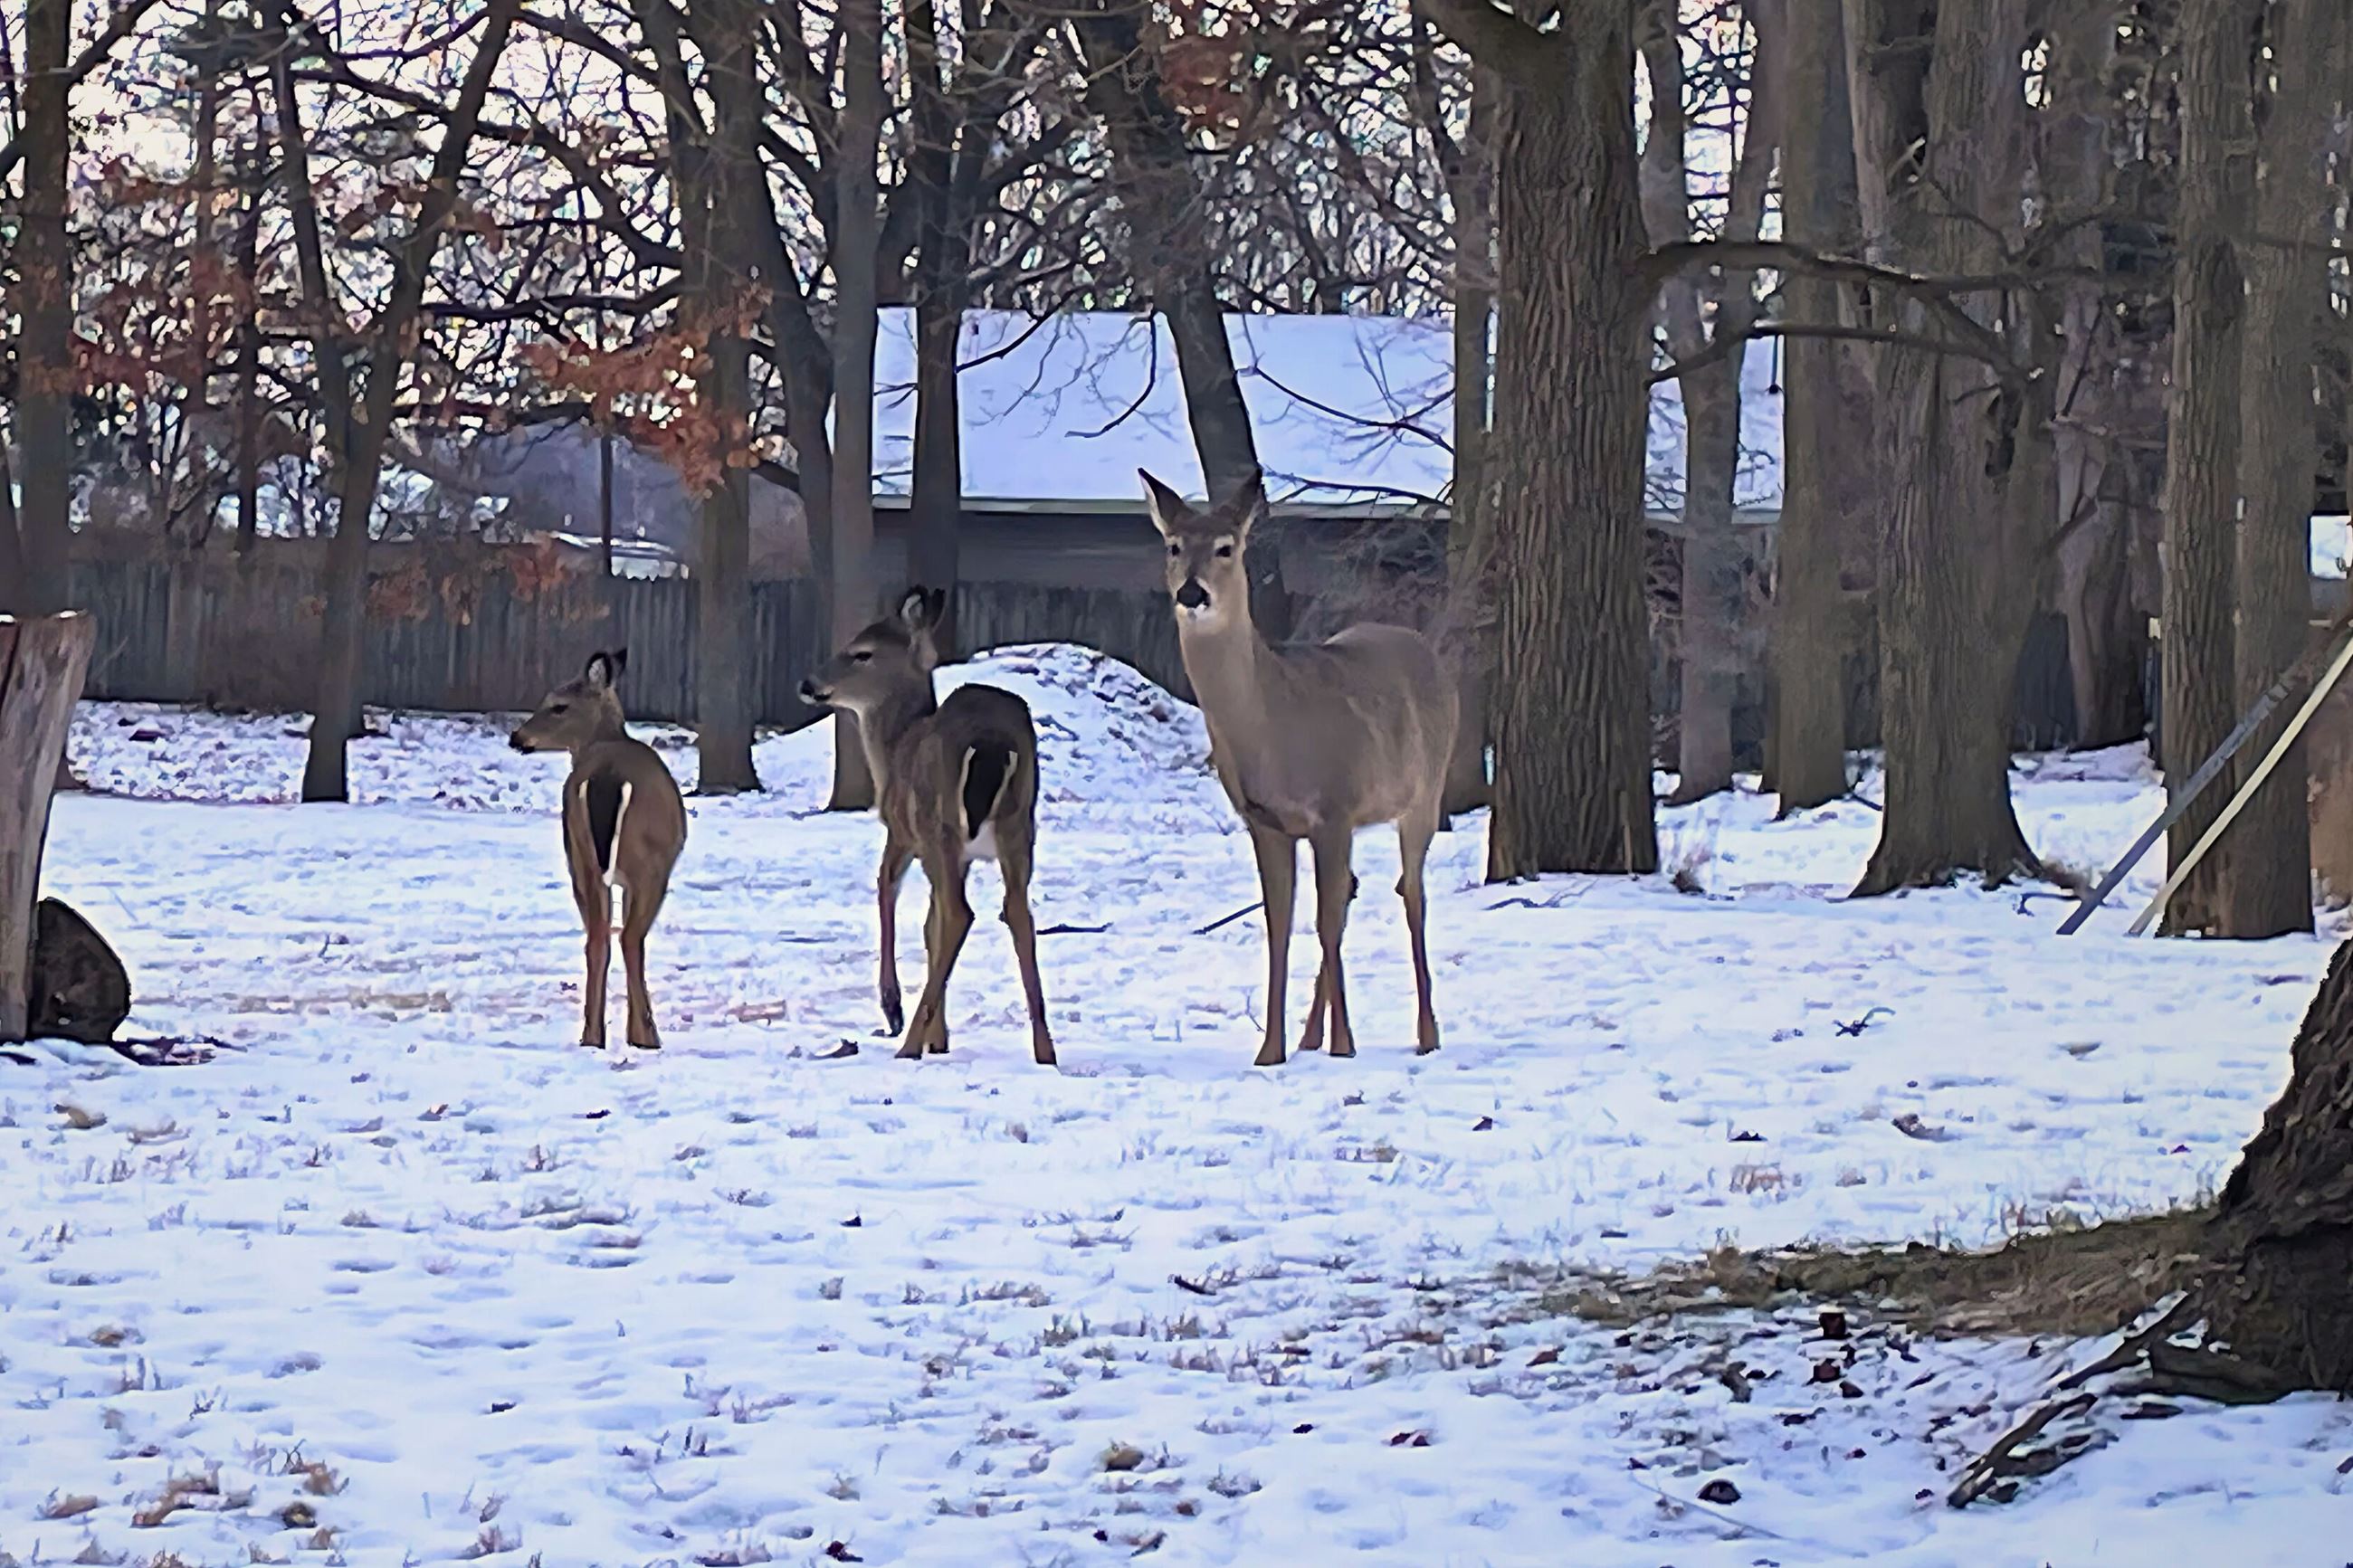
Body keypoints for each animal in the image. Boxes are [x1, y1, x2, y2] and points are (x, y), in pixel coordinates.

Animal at [509, 649, 687, 1051]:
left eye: (558, 705)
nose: (516, 737)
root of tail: (607, 775)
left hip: (579, 854)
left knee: (597, 938)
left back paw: (592, 1037)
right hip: (649, 863)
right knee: (629, 938)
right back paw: (646, 1036)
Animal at [799, 587, 1057, 1066]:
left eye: (861, 652)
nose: (808, 684)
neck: (895, 746)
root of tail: (992, 742)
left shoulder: (902, 831)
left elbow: (888, 890)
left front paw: (897, 1010)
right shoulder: (962, 855)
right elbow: (930, 925)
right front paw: (939, 1037)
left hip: (939, 824)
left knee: (960, 913)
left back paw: (907, 1045)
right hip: (1017, 827)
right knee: (1016, 912)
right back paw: (1044, 1049)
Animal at [1139, 469, 1458, 1068]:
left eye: (1226, 547)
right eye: (1173, 546)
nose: (1192, 593)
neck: (1273, 726)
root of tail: (1424, 647)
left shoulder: (1335, 807)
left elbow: (1325, 925)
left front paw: (1344, 1047)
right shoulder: (1266, 822)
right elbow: (1280, 927)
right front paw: (1272, 1051)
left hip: (1425, 792)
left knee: (1412, 895)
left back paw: (1427, 1034)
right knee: (1354, 891)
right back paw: (1312, 1035)